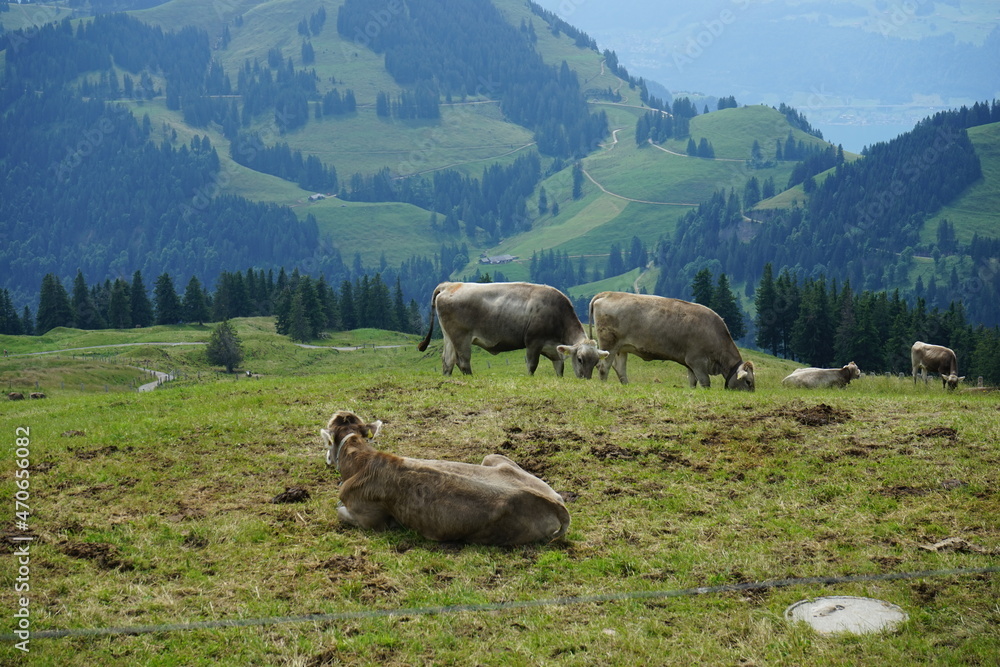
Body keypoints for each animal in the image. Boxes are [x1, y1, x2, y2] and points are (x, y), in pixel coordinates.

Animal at [321, 410, 570, 546]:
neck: (361, 461)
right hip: (494, 457)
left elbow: (339, 510)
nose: (328, 460)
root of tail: (554, 503)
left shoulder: (370, 521)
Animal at [417, 281, 608, 378]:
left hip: (448, 336)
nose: (586, 379)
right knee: (462, 361)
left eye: (595, 362)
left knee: (447, 360)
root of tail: (450, 285)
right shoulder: (533, 342)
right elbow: (532, 365)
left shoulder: (553, 348)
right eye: (580, 359)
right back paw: (470, 377)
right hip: (461, 336)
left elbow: (559, 367)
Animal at [588, 291, 755, 390]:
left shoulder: (690, 363)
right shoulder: (698, 361)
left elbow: (692, 382)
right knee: (603, 367)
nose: (751, 393)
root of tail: (608, 293)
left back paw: (627, 386)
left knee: (620, 368)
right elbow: (705, 382)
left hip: (621, 348)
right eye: (748, 382)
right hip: (609, 344)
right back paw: (604, 385)